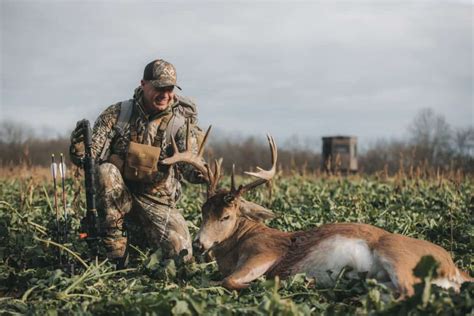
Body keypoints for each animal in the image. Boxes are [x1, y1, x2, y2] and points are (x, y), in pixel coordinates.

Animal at [162, 127, 470, 298]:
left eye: (226, 216)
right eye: (203, 211)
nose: (199, 243)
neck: (238, 243)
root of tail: (454, 267)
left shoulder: (267, 251)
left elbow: (230, 280)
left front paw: (268, 284)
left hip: (399, 256)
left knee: (409, 292)